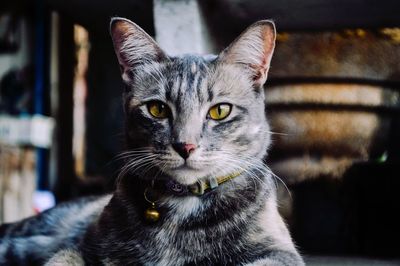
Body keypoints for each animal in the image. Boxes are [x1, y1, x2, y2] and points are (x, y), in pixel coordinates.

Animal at [0, 17, 304, 264]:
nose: (185, 146)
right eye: (157, 109)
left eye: (220, 111)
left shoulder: (279, 253)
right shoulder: (83, 249)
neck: (183, 207)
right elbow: (62, 259)